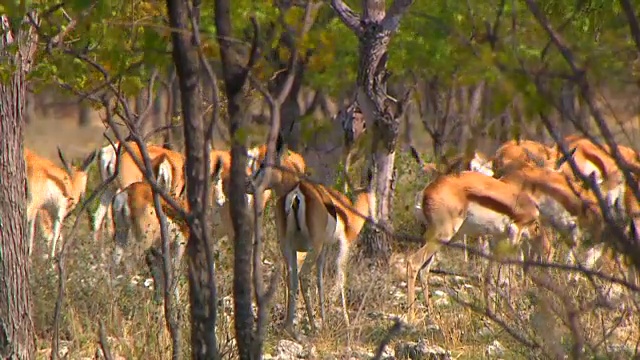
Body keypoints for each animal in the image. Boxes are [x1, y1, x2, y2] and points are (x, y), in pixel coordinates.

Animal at [246, 139, 372, 336]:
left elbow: (320, 279)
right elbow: (340, 278)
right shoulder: (342, 245)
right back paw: (312, 325)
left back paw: (289, 327)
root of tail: (296, 194)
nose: (248, 185)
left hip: (289, 247)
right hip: (313, 247)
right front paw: (344, 322)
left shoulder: (321, 249)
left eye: (262, 164)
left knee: (291, 277)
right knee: (304, 277)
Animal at [410, 171, 540, 320]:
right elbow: (508, 276)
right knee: (413, 262)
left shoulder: (499, 238)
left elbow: (493, 276)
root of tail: (425, 192)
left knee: (424, 270)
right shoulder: (515, 232)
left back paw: (431, 314)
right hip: (443, 236)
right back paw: (411, 316)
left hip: (439, 238)